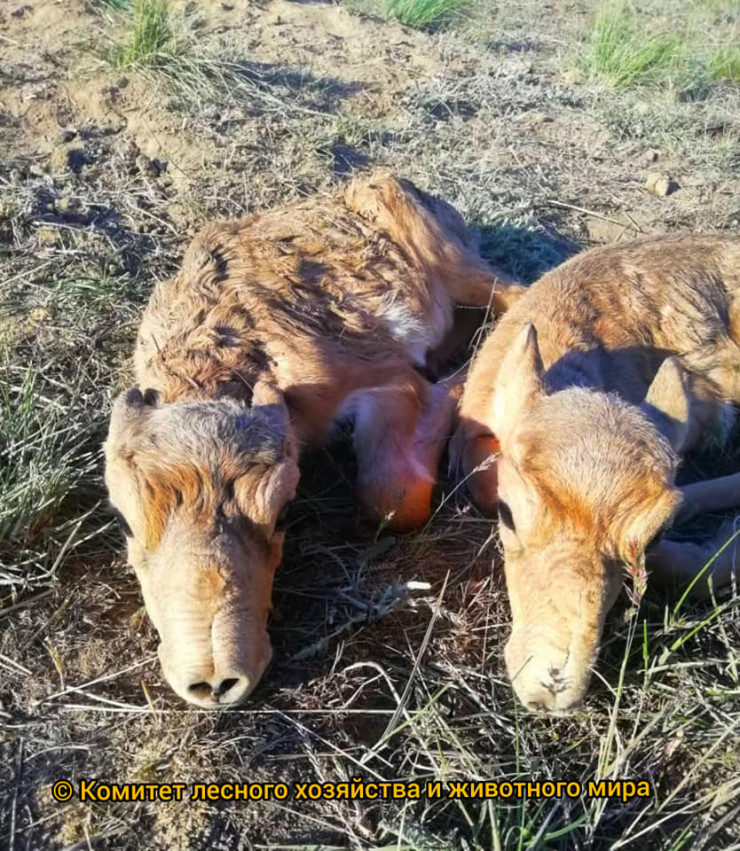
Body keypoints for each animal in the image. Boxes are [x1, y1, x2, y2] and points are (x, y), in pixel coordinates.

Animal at [104, 173, 523, 709]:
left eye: (283, 512)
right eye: (124, 522)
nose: (215, 681)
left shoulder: (383, 380)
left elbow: (393, 495)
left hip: (451, 258)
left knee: (517, 292)